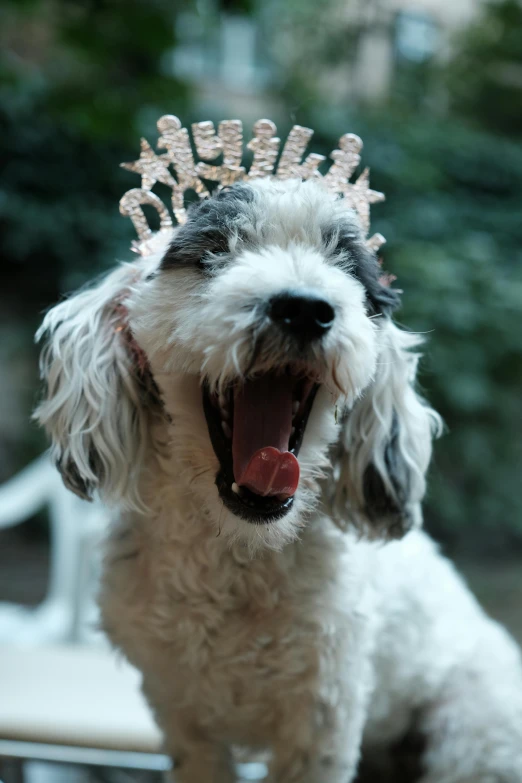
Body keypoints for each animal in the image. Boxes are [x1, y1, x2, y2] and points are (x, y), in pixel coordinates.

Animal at [34, 179, 520, 783]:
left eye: (348, 268)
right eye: (215, 250)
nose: (305, 309)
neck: (239, 550)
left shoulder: (323, 716)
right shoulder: (183, 717)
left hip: (473, 731)